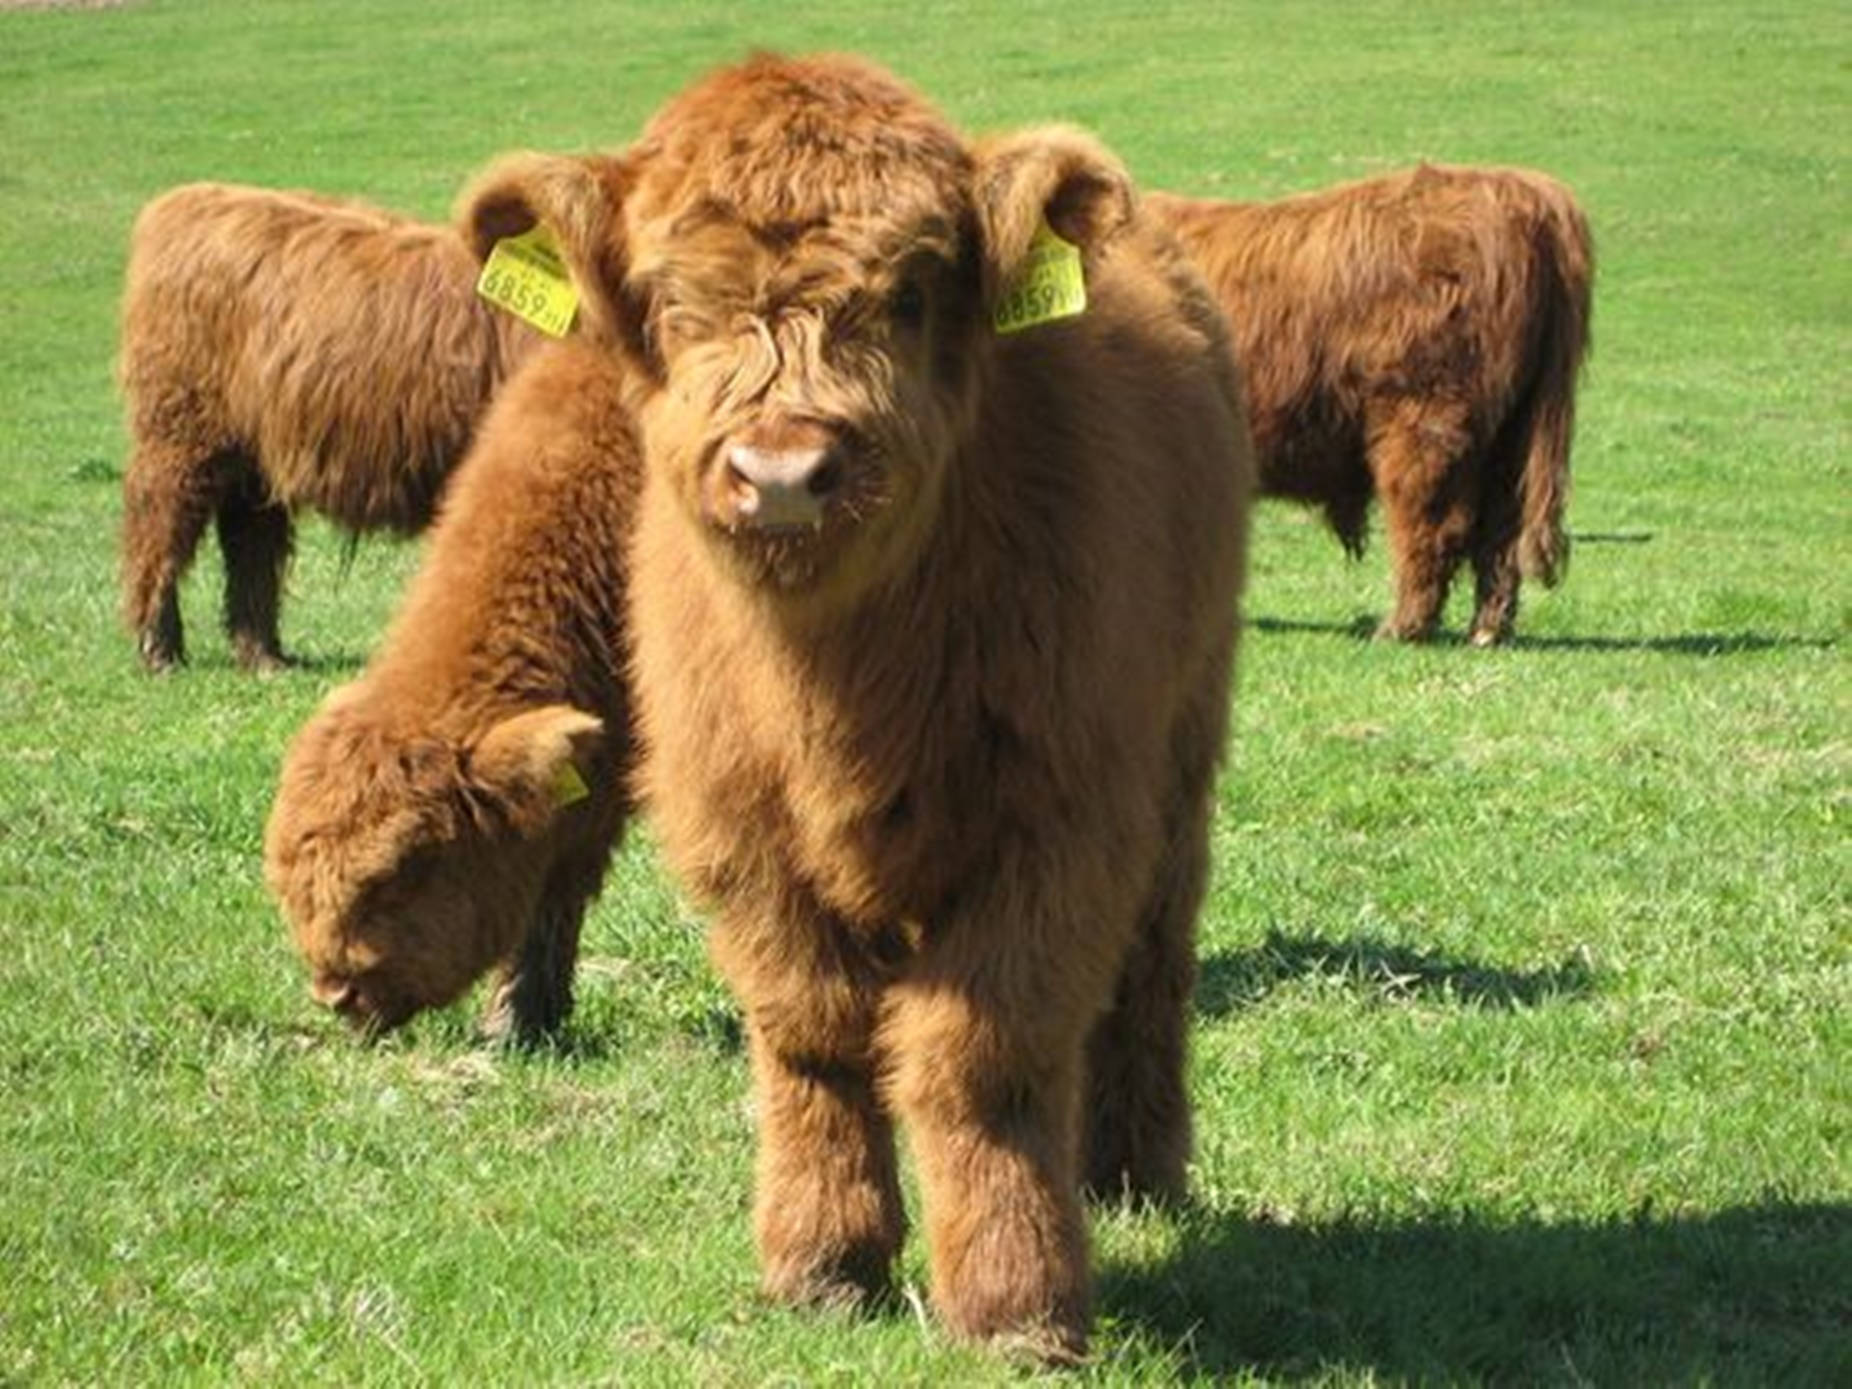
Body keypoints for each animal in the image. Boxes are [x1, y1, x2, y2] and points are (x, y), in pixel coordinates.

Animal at [114, 180, 544, 674]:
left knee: (250, 541)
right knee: (160, 522)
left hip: (253, 454)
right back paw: (160, 649)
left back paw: (263, 656)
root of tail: (185, 198)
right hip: (180, 432)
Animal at [459, 51, 1259, 1363]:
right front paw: (824, 1263)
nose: (783, 473)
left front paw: (1014, 1299)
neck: (838, 687)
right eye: (672, 302)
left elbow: (980, 1053)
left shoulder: (1059, 823)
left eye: (912, 293)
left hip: (1180, 749)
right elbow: (813, 1031)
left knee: (1153, 955)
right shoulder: (741, 835)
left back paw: (1128, 1171)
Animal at [1140, 165, 1592, 644]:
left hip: (1425, 418)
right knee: (1501, 534)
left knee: (1433, 525)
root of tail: (1519, 188)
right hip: (1513, 435)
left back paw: (1401, 626)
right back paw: (1486, 631)